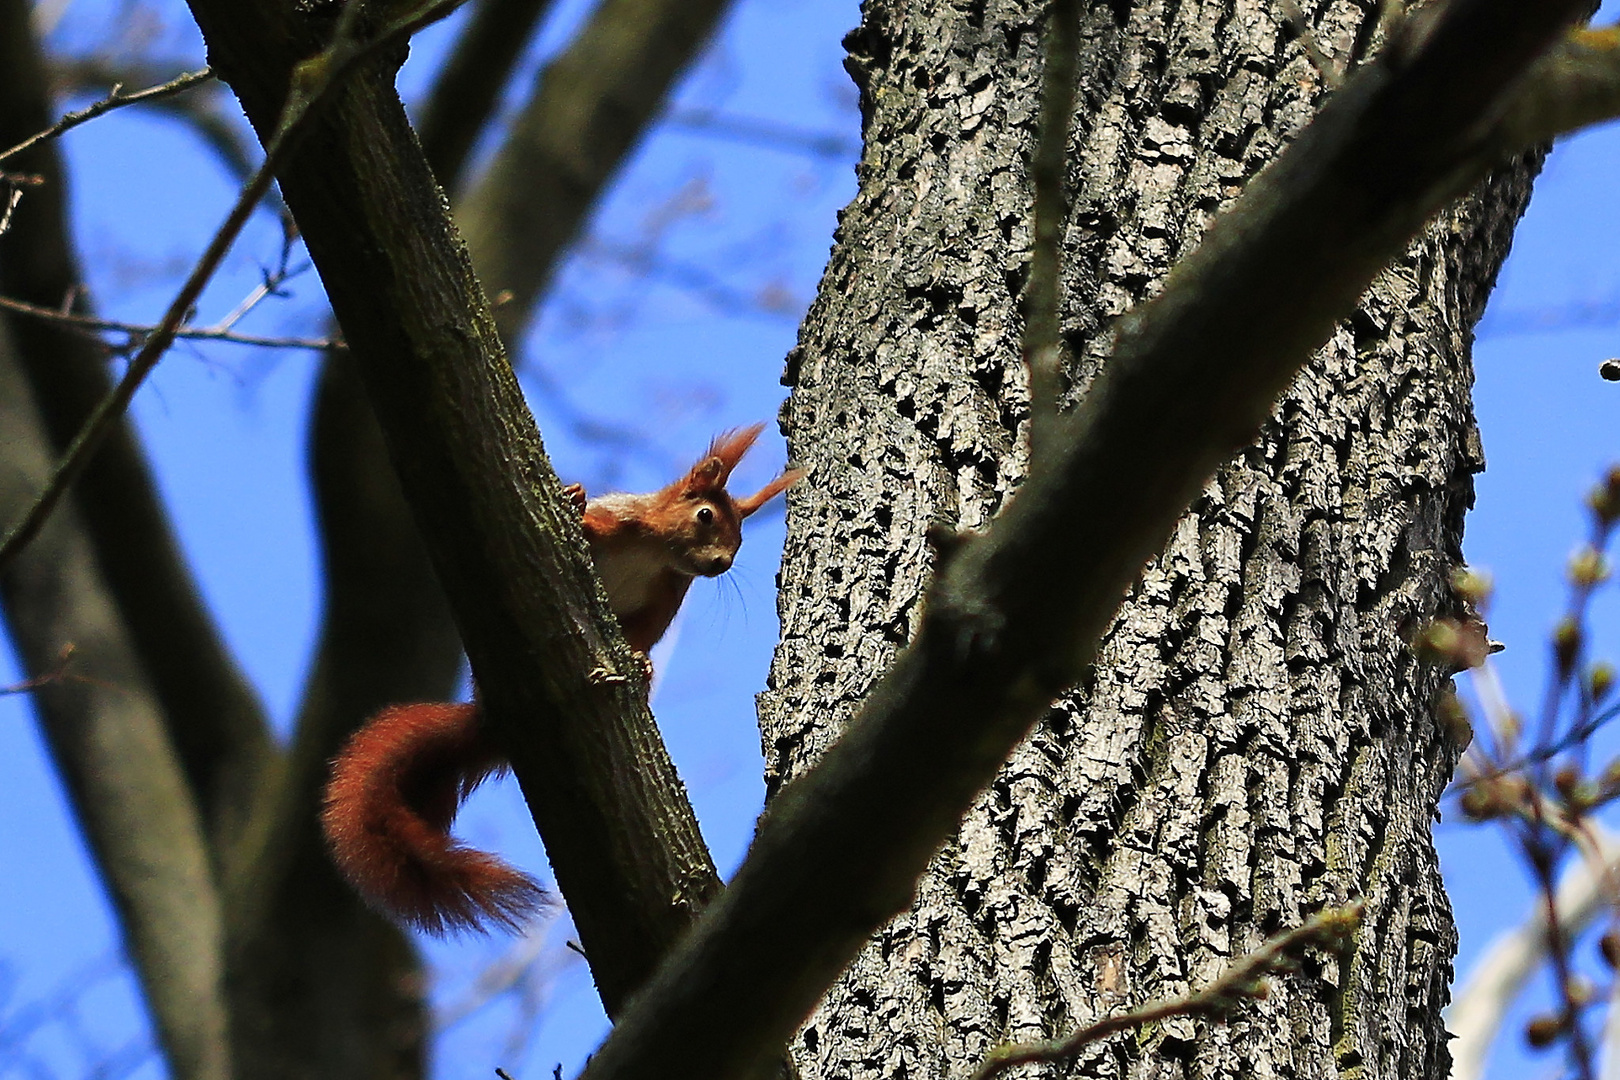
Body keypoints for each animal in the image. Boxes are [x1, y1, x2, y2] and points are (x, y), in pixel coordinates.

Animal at [319, 427, 800, 932]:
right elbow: (589, 522)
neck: (652, 552)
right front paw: (574, 496)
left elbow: (643, 635)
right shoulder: (618, 522)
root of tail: (488, 718)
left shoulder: (667, 593)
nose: (722, 563)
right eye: (705, 516)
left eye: (740, 537)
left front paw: (640, 661)